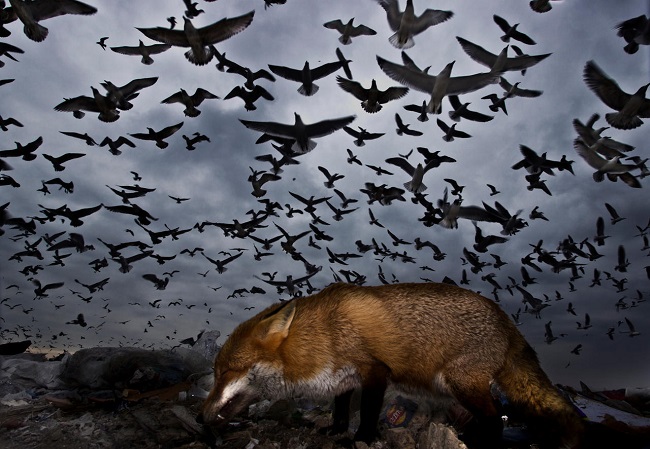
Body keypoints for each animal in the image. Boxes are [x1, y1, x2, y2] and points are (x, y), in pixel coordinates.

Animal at [199, 282, 584, 448]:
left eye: (225, 372)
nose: (202, 416)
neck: (322, 333)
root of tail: (507, 320)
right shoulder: (344, 379)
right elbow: (341, 408)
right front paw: (337, 430)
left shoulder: (374, 371)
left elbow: (369, 411)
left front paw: (363, 438)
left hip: (461, 383)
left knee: (494, 421)